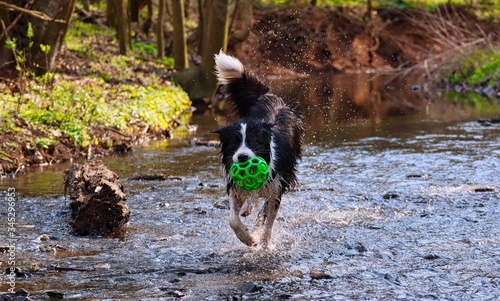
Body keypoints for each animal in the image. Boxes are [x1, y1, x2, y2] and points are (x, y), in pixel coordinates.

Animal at [212, 51, 302, 248]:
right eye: (235, 143)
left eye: (254, 142)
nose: (243, 157)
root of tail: (270, 96)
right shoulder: (235, 186)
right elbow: (233, 220)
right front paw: (248, 238)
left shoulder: (276, 187)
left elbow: (268, 220)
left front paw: (264, 244)